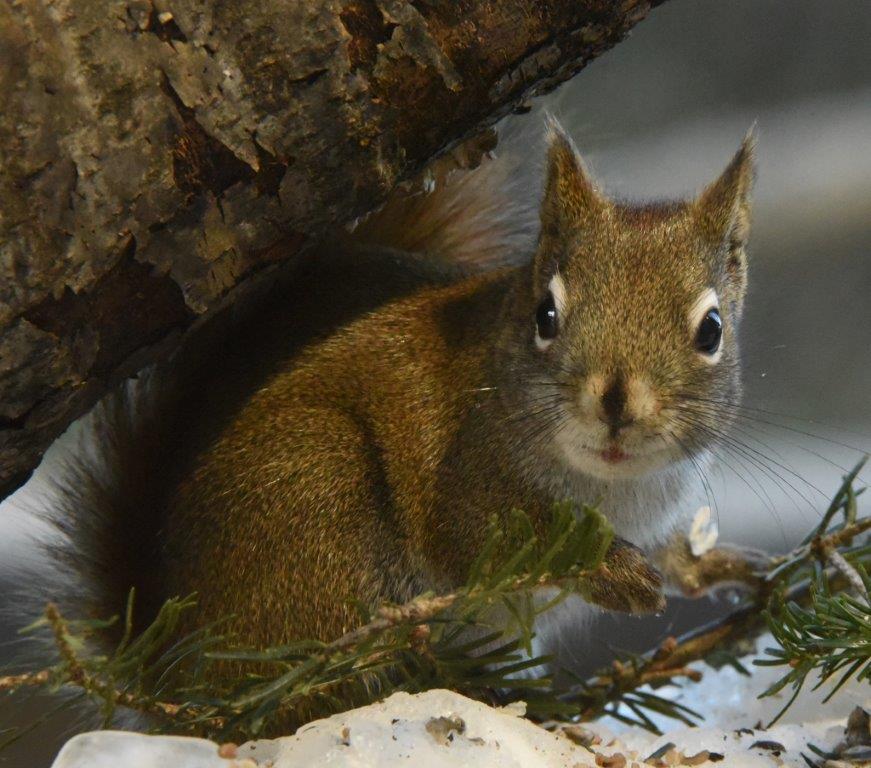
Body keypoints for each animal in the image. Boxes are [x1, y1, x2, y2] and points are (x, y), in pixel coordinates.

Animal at [32, 119, 757, 656]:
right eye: (545, 316)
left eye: (712, 330)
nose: (614, 404)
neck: (614, 487)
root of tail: (170, 665)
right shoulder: (461, 479)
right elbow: (493, 540)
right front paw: (608, 570)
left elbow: (677, 551)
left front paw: (720, 566)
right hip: (315, 493)